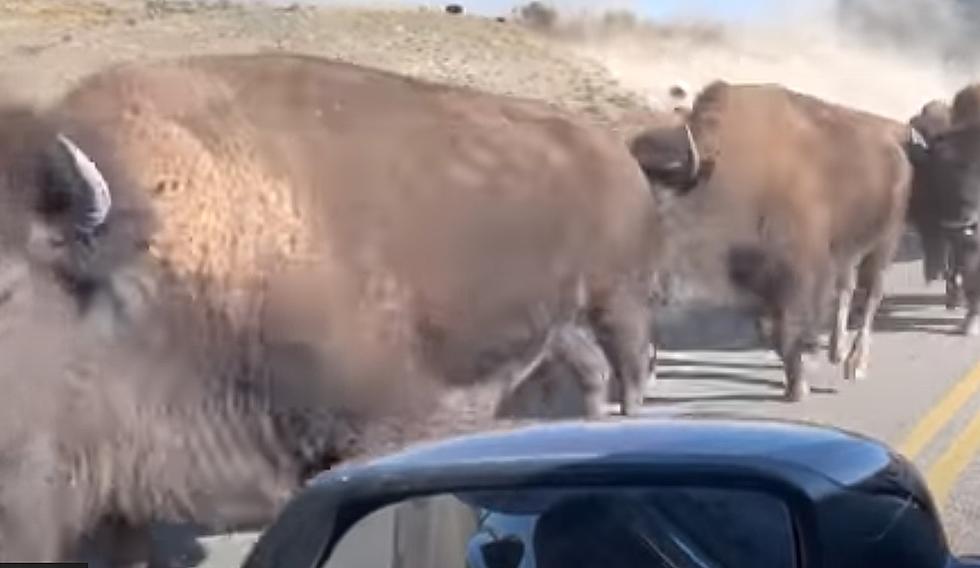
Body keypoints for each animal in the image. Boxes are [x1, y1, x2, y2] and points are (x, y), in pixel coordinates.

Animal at [0, 53, 668, 564]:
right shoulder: (124, 489)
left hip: (618, 301)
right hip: (563, 328)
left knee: (632, 367)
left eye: (7, 286)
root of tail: (615, 151)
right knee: (593, 371)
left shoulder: (375, 430)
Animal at [628, 81, 920, 400]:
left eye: (661, 210)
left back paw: (855, 364)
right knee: (847, 289)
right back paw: (836, 351)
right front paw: (798, 377)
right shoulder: (762, 283)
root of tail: (896, 151)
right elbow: (772, 330)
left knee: (870, 297)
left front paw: (800, 384)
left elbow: (790, 326)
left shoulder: (800, 273)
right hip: (850, 251)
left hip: (883, 246)